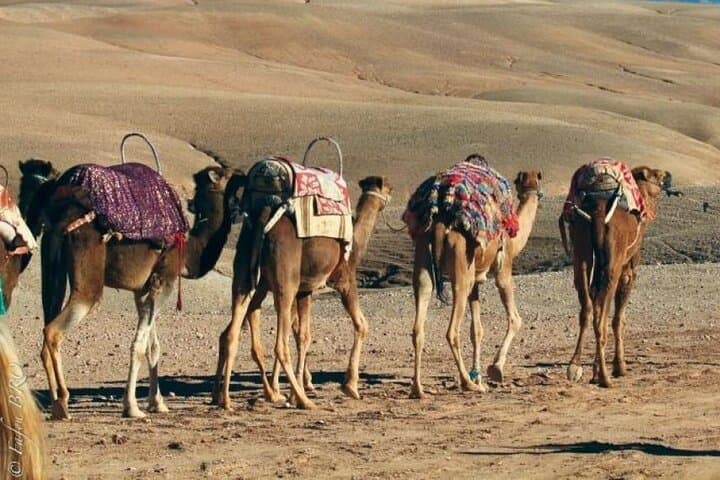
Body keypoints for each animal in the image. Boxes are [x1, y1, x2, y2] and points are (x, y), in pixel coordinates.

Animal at [20, 162, 244, 419]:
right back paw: (62, 401)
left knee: (47, 326)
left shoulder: (143, 289)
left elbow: (153, 346)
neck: (190, 249)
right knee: (53, 331)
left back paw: (57, 403)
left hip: (52, 267)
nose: (242, 173)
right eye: (226, 174)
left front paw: (158, 403)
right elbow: (139, 346)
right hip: (88, 280)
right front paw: (133, 407)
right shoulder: (164, 281)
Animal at [213, 173, 391, 410]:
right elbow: (361, 325)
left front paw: (295, 389)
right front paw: (349, 386)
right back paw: (303, 401)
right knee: (279, 344)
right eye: (389, 188)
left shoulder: (305, 291)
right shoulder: (344, 280)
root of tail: (264, 218)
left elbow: (303, 336)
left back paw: (224, 398)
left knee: (231, 333)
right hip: (284, 283)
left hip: (246, 277)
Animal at [409, 170, 543, 398]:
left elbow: (477, 330)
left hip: (423, 256)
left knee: (419, 324)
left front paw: (479, 375)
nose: (536, 192)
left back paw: (418, 389)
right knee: (452, 331)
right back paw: (468, 384)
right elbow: (515, 319)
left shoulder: (476, 282)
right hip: (461, 268)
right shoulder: (504, 270)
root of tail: (439, 225)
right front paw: (495, 369)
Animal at [561, 164, 672, 387]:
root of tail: (598, 213)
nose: (668, 176)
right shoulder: (628, 267)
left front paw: (594, 371)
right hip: (613, 261)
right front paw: (619, 367)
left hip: (581, 250)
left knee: (588, 308)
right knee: (602, 318)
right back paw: (605, 378)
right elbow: (619, 318)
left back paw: (575, 366)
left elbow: (595, 304)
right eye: (656, 174)